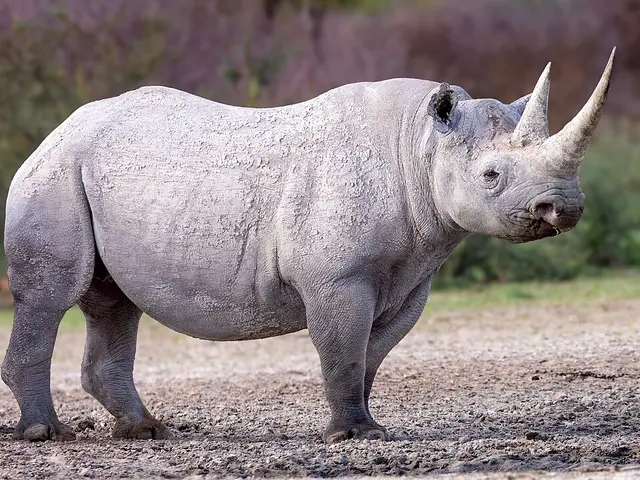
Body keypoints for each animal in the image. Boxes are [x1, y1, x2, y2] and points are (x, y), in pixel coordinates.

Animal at [2, 49, 615, 443]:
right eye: (490, 176)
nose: (564, 208)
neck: (420, 147)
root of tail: (55, 130)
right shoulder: (337, 278)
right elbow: (342, 350)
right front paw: (354, 437)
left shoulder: (411, 277)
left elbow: (371, 354)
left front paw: (367, 426)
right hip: (53, 173)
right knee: (53, 295)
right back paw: (46, 433)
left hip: (95, 175)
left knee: (113, 301)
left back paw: (146, 432)